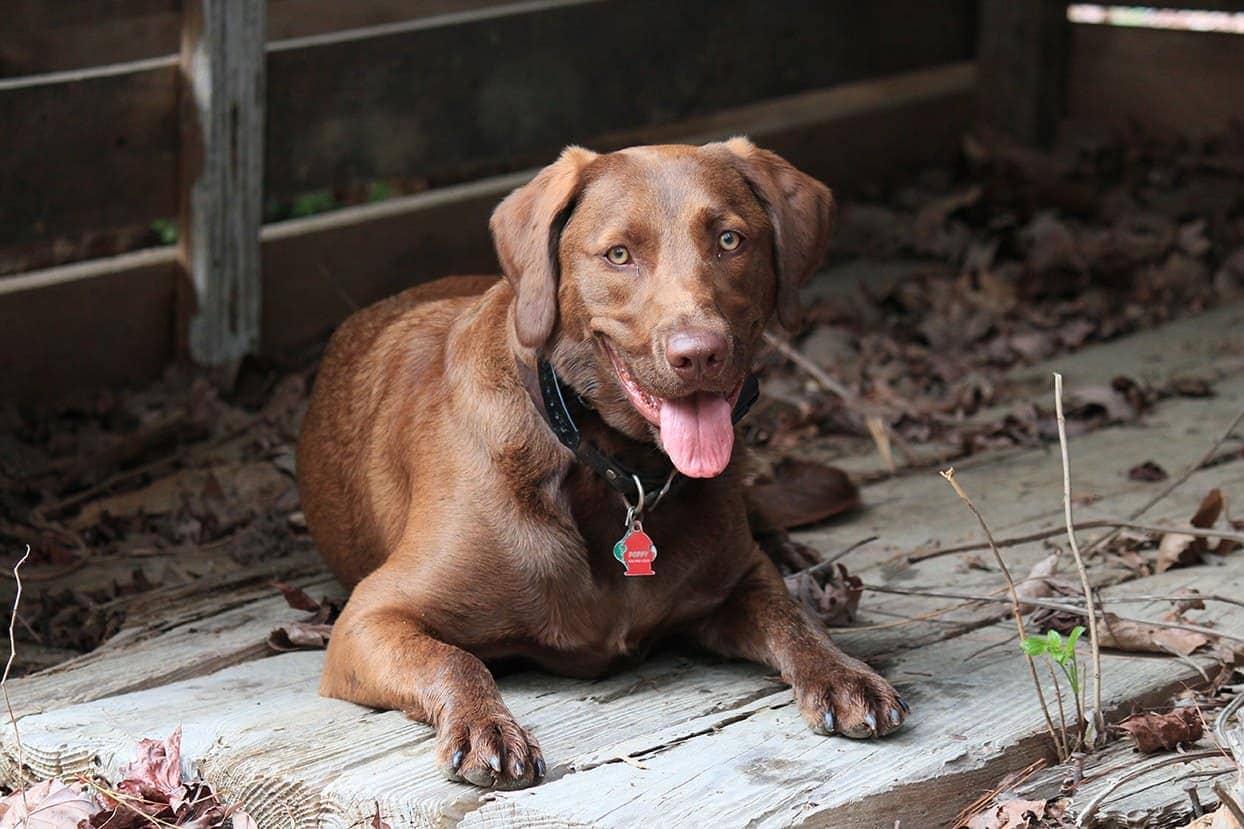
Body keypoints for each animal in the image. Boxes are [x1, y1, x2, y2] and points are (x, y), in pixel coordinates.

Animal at [297, 140, 910, 786]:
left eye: (729, 240)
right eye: (619, 255)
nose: (699, 354)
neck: (614, 467)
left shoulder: (740, 580)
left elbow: (792, 621)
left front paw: (843, 674)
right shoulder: (369, 618)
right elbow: (456, 660)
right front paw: (485, 725)